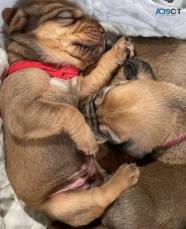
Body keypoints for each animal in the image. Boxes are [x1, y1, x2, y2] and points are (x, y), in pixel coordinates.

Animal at [0, 0, 140, 227]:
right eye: (66, 17)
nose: (103, 30)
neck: (54, 67)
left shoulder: (82, 85)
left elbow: (100, 67)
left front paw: (119, 49)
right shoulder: (22, 109)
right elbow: (66, 110)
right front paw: (86, 138)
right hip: (64, 204)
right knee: (100, 197)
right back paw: (124, 174)